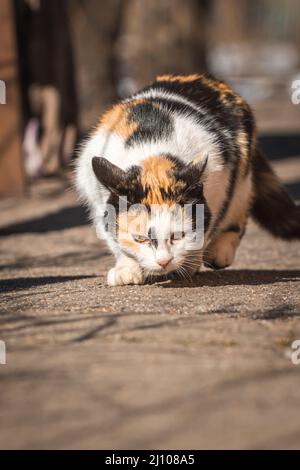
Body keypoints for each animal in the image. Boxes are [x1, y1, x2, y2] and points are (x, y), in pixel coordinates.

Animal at [75, 74, 300, 286]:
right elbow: (114, 237)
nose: (163, 262)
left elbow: (207, 226)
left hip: (242, 173)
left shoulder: (221, 183)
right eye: (140, 238)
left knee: (238, 211)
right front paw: (127, 270)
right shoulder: (95, 195)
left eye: (178, 236)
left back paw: (219, 253)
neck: (152, 152)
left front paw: (189, 263)